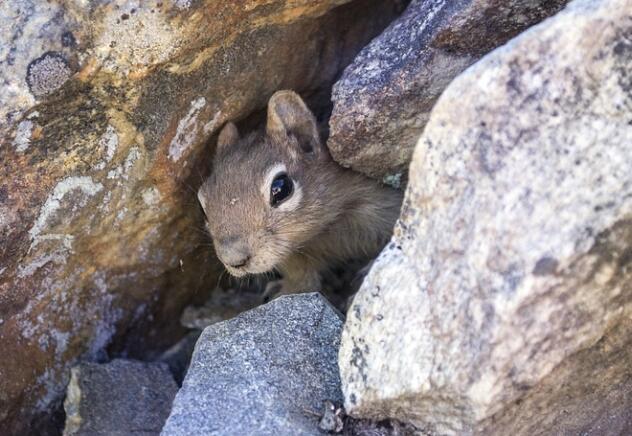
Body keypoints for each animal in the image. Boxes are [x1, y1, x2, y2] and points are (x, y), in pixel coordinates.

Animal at [198, 90, 402, 298]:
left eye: (281, 189)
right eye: (202, 207)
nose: (234, 259)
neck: (324, 230)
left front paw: (369, 271)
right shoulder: (291, 253)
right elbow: (301, 274)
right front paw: (288, 290)